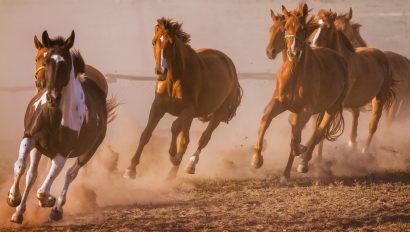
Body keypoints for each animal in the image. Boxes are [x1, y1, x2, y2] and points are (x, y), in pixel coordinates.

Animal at [7, 30, 117, 223]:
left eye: (65, 64)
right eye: (44, 60)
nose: (52, 96)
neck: (54, 116)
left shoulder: (61, 154)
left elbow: (44, 188)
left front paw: (48, 200)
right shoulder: (30, 138)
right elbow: (21, 167)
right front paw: (13, 198)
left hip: (89, 151)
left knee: (70, 174)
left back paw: (56, 208)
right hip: (39, 148)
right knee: (32, 175)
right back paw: (19, 212)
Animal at [123, 17, 242, 179]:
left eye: (172, 42)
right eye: (153, 42)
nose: (160, 71)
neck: (175, 79)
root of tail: (229, 64)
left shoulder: (188, 110)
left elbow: (177, 130)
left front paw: (173, 155)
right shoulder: (157, 107)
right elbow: (146, 134)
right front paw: (130, 169)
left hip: (218, 113)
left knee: (203, 138)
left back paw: (188, 165)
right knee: (184, 137)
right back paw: (171, 174)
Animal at [251, 3, 348, 185]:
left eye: (302, 29)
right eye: (286, 28)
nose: (294, 52)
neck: (295, 74)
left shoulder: (306, 110)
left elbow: (296, 136)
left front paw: (300, 151)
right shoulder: (279, 102)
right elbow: (266, 120)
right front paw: (256, 159)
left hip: (331, 108)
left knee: (318, 132)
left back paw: (300, 164)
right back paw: (287, 171)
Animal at [312, 9, 396, 156]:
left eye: (329, 27)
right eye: (315, 25)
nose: (313, 46)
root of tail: (382, 56)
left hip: (379, 98)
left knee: (372, 125)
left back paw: (364, 151)